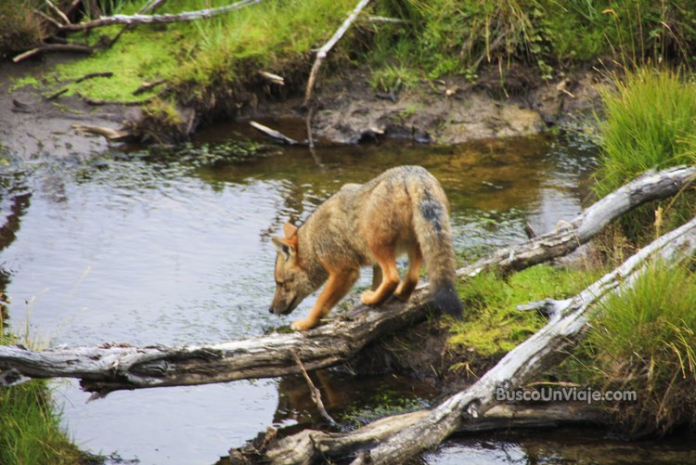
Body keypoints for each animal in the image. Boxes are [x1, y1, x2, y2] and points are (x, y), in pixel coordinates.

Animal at [269, 165, 463, 331]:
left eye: (280, 283)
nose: (270, 310)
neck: (312, 242)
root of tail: (413, 174)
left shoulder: (345, 271)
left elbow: (320, 304)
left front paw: (306, 324)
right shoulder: (373, 265)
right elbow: (377, 282)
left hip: (377, 244)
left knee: (393, 278)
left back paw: (371, 300)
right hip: (415, 246)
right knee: (411, 278)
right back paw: (393, 297)